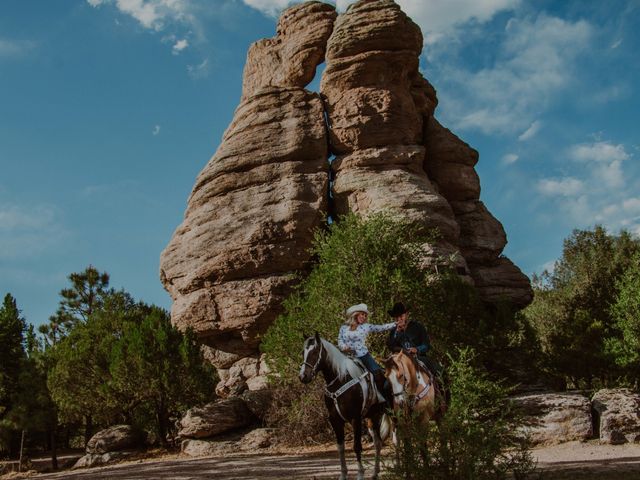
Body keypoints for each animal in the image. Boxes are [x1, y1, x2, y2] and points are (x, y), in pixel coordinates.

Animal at [300, 332, 390, 480]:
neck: (340, 381)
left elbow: (357, 446)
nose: (303, 376)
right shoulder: (335, 420)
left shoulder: (355, 419)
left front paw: (360, 474)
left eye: (314, 352)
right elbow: (340, 448)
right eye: (303, 353)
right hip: (373, 417)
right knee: (378, 443)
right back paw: (375, 473)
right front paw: (343, 474)